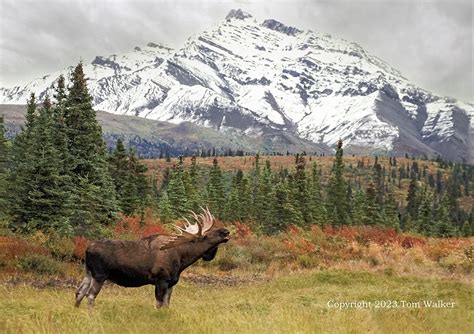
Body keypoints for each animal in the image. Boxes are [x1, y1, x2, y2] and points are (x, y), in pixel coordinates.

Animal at [74, 209, 230, 308]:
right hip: (100, 274)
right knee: (90, 295)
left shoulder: (171, 283)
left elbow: (167, 305)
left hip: (88, 273)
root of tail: (87, 250)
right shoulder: (161, 280)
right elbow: (159, 304)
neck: (182, 260)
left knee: (79, 292)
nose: (226, 231)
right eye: (206, 235)